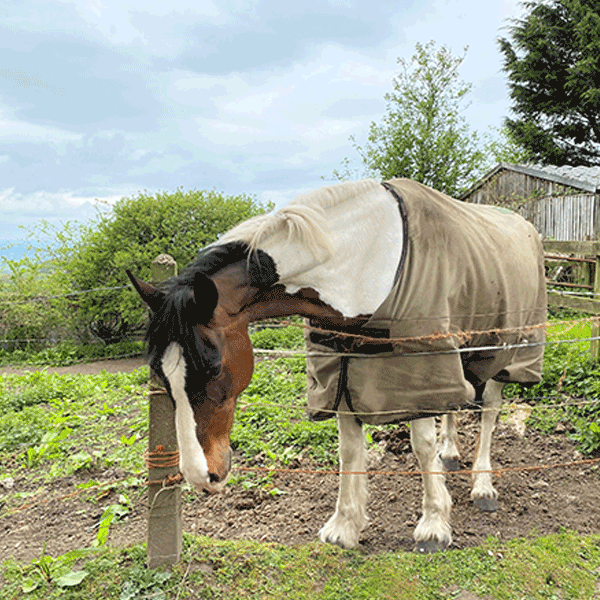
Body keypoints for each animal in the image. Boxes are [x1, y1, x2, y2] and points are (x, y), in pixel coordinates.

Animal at [127, 179, 548, 552]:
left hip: (505, 348)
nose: (202, 477)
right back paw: (452, 454)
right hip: (462, 352)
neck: (360, 262)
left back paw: (483, 485)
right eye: (162, 376)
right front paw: (345, 526)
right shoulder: (343, 369)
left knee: (489, 410)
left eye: (212, 367)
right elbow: (349, 449)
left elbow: (421, 446)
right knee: (453, 405)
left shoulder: (419, 368)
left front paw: (433, 525)